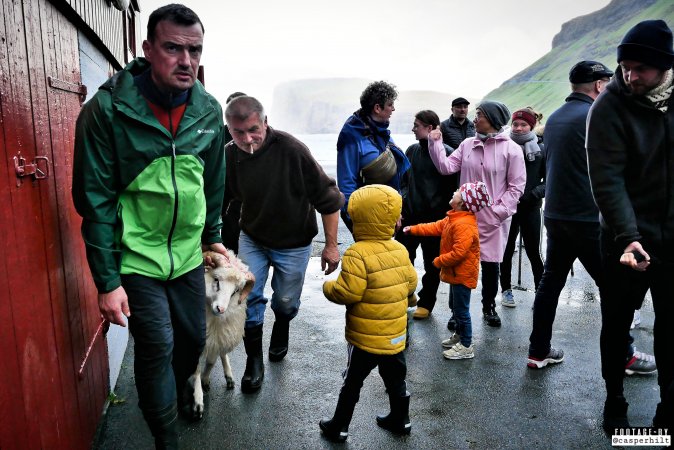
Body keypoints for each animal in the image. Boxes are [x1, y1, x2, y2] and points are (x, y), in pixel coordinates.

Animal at [188, 250, 253, 418]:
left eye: (236, 291)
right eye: (216, 279)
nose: (221, 309)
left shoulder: (215, 338)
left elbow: (211, 362)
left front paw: (205, 380)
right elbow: (196, 368)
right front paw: (198, 401)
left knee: (222, 351)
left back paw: (229, 376)